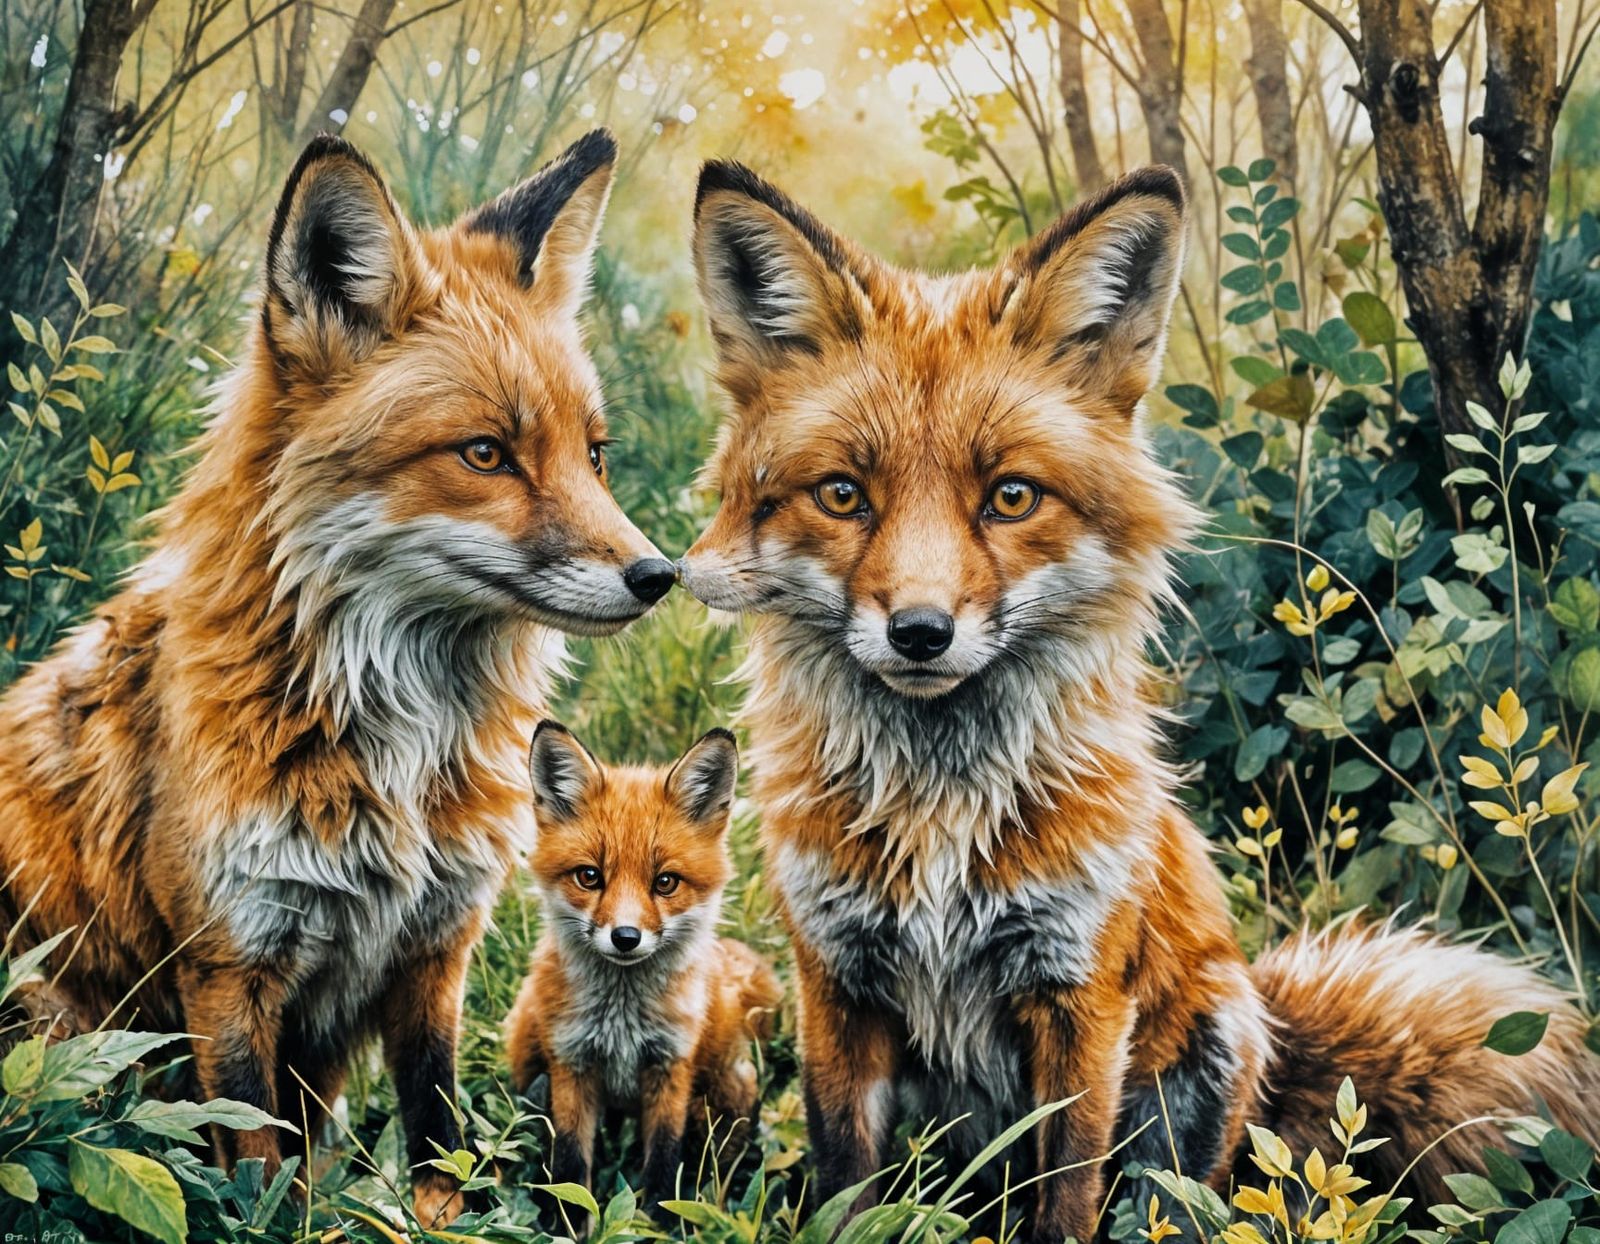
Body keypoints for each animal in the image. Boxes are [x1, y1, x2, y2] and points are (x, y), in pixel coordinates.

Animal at [0, 129, 680, 1226]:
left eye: (595, 454)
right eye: (485, 453)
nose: (660, 575)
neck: (395, 747)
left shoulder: (434, 950)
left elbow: (438, 1143)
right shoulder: (229, 966)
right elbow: (252, 1174)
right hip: (62, 1028)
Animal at [505, 721, 781, 1211]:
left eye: (665, 882)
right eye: (589, 876)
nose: (626, 937)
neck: (621, 1023)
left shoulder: (671, 1067)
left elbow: (664, 1164)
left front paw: (657, 1219)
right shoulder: (571, 1063)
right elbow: (571, 1169)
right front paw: (569, 1222)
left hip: (728, 1093)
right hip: (525, 1046)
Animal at [676, 160, 1600, 1240]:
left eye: (1011, 497)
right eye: (841, 495)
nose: (920, 632)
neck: (940, 814)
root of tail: (1276, 1027)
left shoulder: (1079, 993)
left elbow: (1066, 1195)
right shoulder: (836, 983)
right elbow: (845, 1189)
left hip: (1199, 1065)